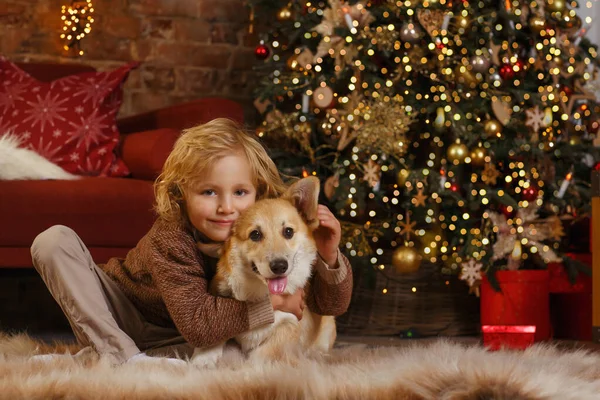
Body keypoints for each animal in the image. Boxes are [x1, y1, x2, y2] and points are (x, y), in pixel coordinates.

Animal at [195, 177, 338, 364]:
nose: (279, 266)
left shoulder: (288, 324)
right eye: (255, 234)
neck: (260, 294)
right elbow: (212, 336)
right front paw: (200, 361)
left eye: (288, 231)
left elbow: (261, 357)